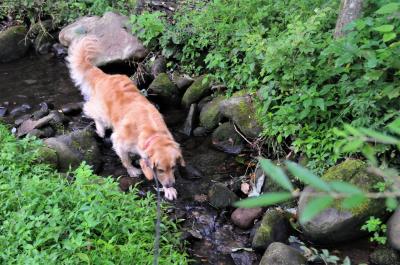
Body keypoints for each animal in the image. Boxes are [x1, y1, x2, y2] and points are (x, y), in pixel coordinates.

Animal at [66, 36, 184, 199]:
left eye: (172, 167)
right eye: (160, 169)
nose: (170, 184)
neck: (152, 133)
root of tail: (105, 76)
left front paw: (169, 190)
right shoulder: (119, 141)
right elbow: (126, 159)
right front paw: (132, 170)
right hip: (102, 111)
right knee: (90, 110)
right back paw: (100, 129)